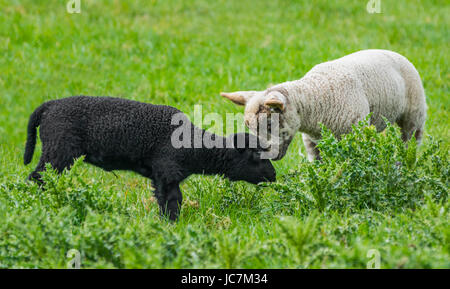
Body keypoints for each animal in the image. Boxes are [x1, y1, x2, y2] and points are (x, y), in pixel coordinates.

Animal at [25, 95, 278, 219]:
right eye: (256, 156)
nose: (274, 176)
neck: (194, 146)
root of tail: (48, 106)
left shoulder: (163, 176)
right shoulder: (166, 173)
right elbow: (172, 202)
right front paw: (170, 225)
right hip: (58, 150)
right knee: (37, 178)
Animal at [222, 50, 428, 161]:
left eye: (270, 125)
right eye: (248, 127)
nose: (259, 154)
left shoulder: (354, 135)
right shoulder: (313, 142)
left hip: (414, 114)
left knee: (410, 140)